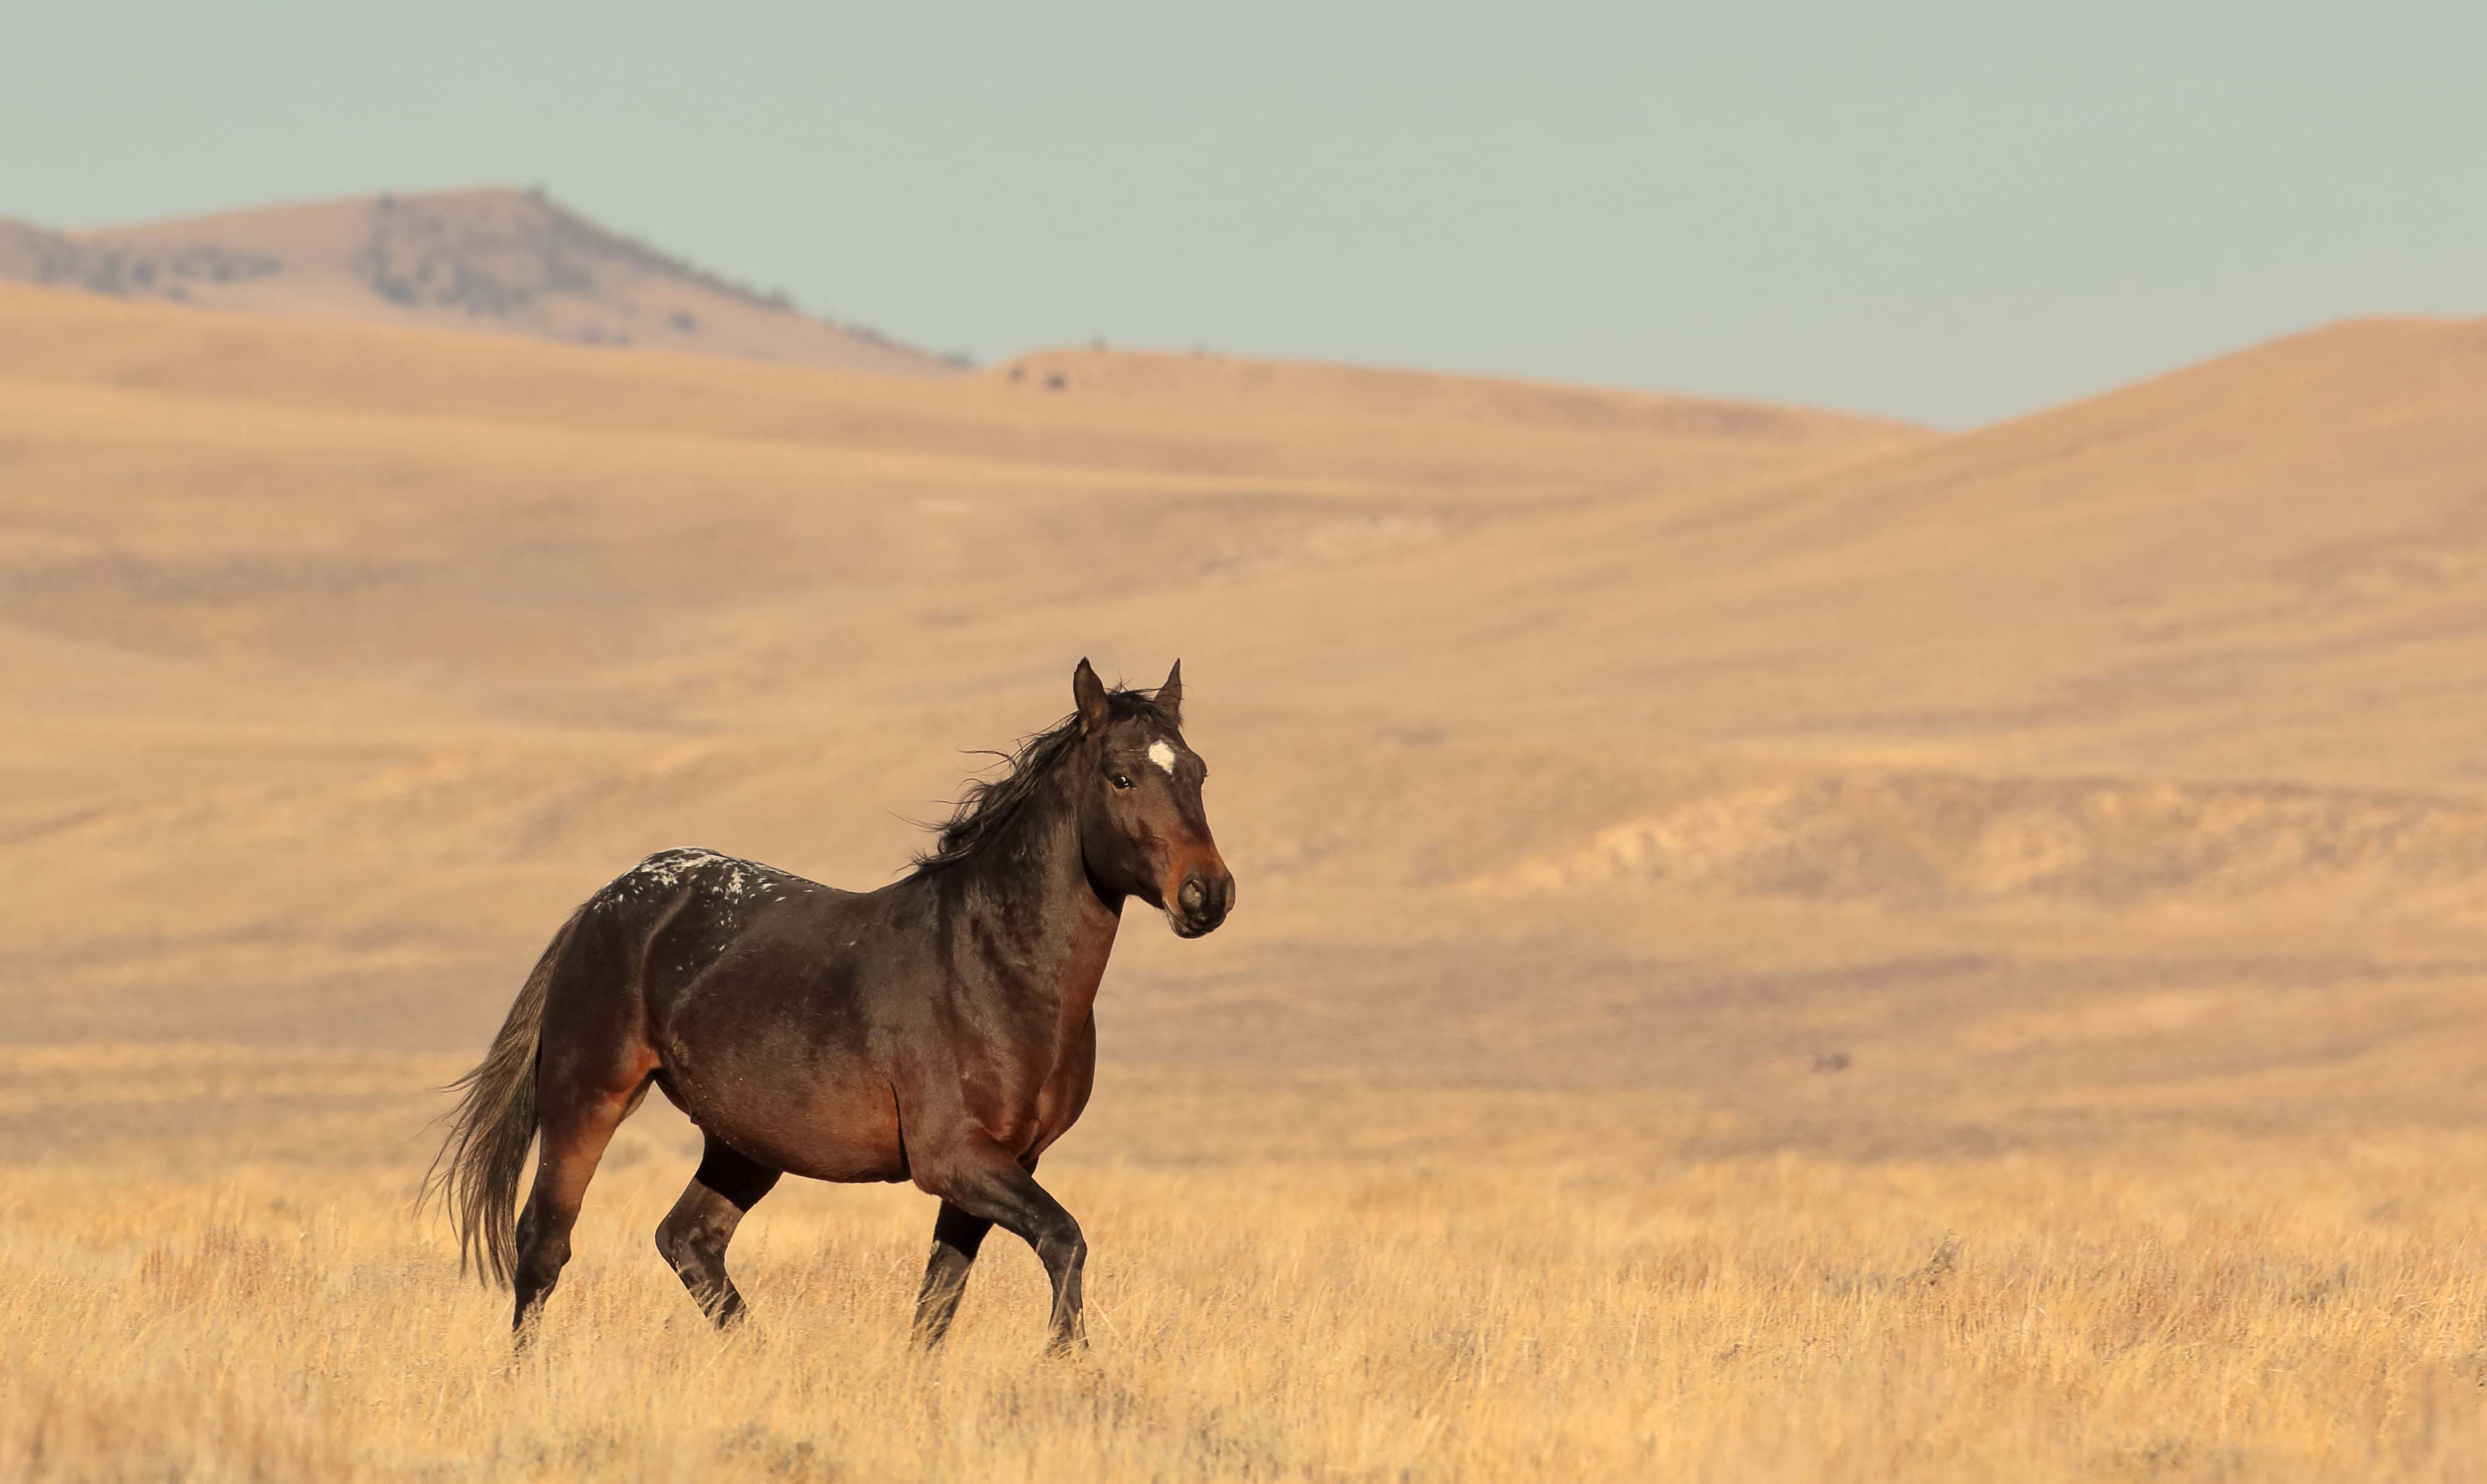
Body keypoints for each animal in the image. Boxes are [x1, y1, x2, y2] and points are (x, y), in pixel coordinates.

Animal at [437, 661, 1244, 1352]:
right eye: (1122, 777)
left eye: (1199, 772)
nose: (1208, 894)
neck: (994, 965)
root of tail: (605, 903)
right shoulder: (957, 1159)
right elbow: (1064, 1239)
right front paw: (1068, 1366)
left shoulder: (1001, 1164)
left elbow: (939, 1299)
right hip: (589, 1099)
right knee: (545, 1243)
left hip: (743, 1141)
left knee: (689, 1241)